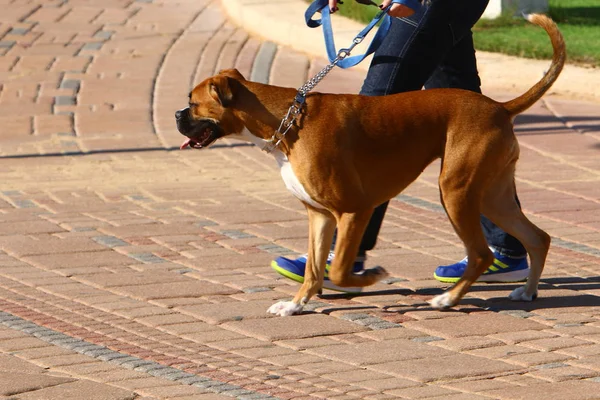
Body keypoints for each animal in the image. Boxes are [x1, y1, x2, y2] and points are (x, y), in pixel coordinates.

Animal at [176, 14, 564, 316]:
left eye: (193, 103)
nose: (177, 115)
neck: (289, 121)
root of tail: (499, 107)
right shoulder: (319, 216)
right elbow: (314, 269)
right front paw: (296, 304)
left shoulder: (355, 210)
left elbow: (337, 270)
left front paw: (368, 277)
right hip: (492, 196)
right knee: (537, 238)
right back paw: (528, 291)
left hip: (456, 193)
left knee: (481, 254)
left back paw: (448, 299)